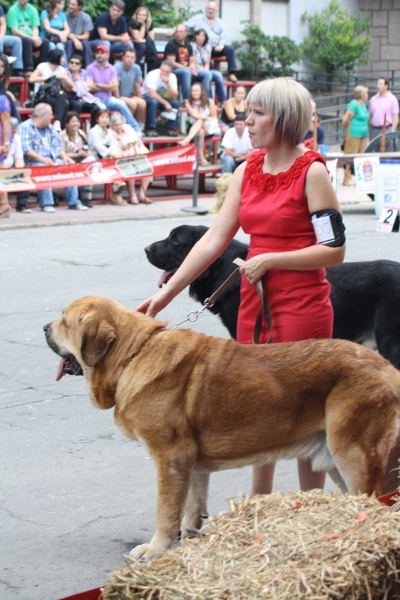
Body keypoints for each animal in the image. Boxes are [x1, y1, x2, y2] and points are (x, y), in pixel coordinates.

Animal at [45, 298, 400, 560]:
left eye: (64, 321)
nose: (45, 327)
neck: (133, 354)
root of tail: (387, 367)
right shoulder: (189, 463)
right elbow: (192, 501)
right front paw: (190, 533)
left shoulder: (169, 459)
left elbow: (166, 510)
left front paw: (156, 549)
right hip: (339, 460)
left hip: (354, 457)